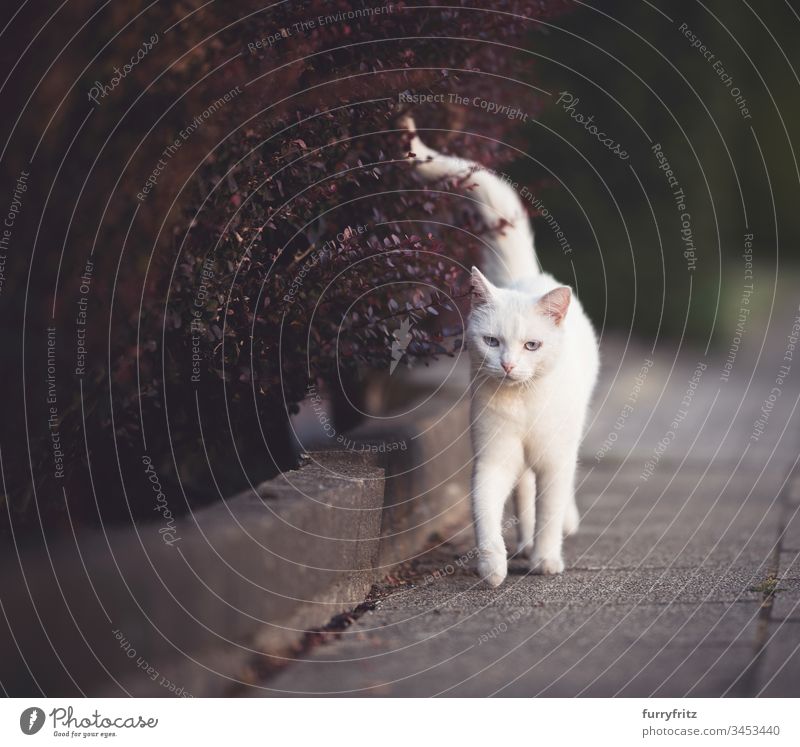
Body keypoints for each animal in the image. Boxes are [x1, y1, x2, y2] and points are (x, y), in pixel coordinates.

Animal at [404, 118, 596, 584]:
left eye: (531, 345)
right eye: (492, 342)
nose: (508, 365)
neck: (524, 403)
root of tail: (526, 277)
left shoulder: (554, 460)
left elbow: (550, 509)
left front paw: (547, 560)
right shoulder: (492, 459)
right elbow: (485, 510)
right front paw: (492, 566)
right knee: (523, 494)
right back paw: (522, 544)